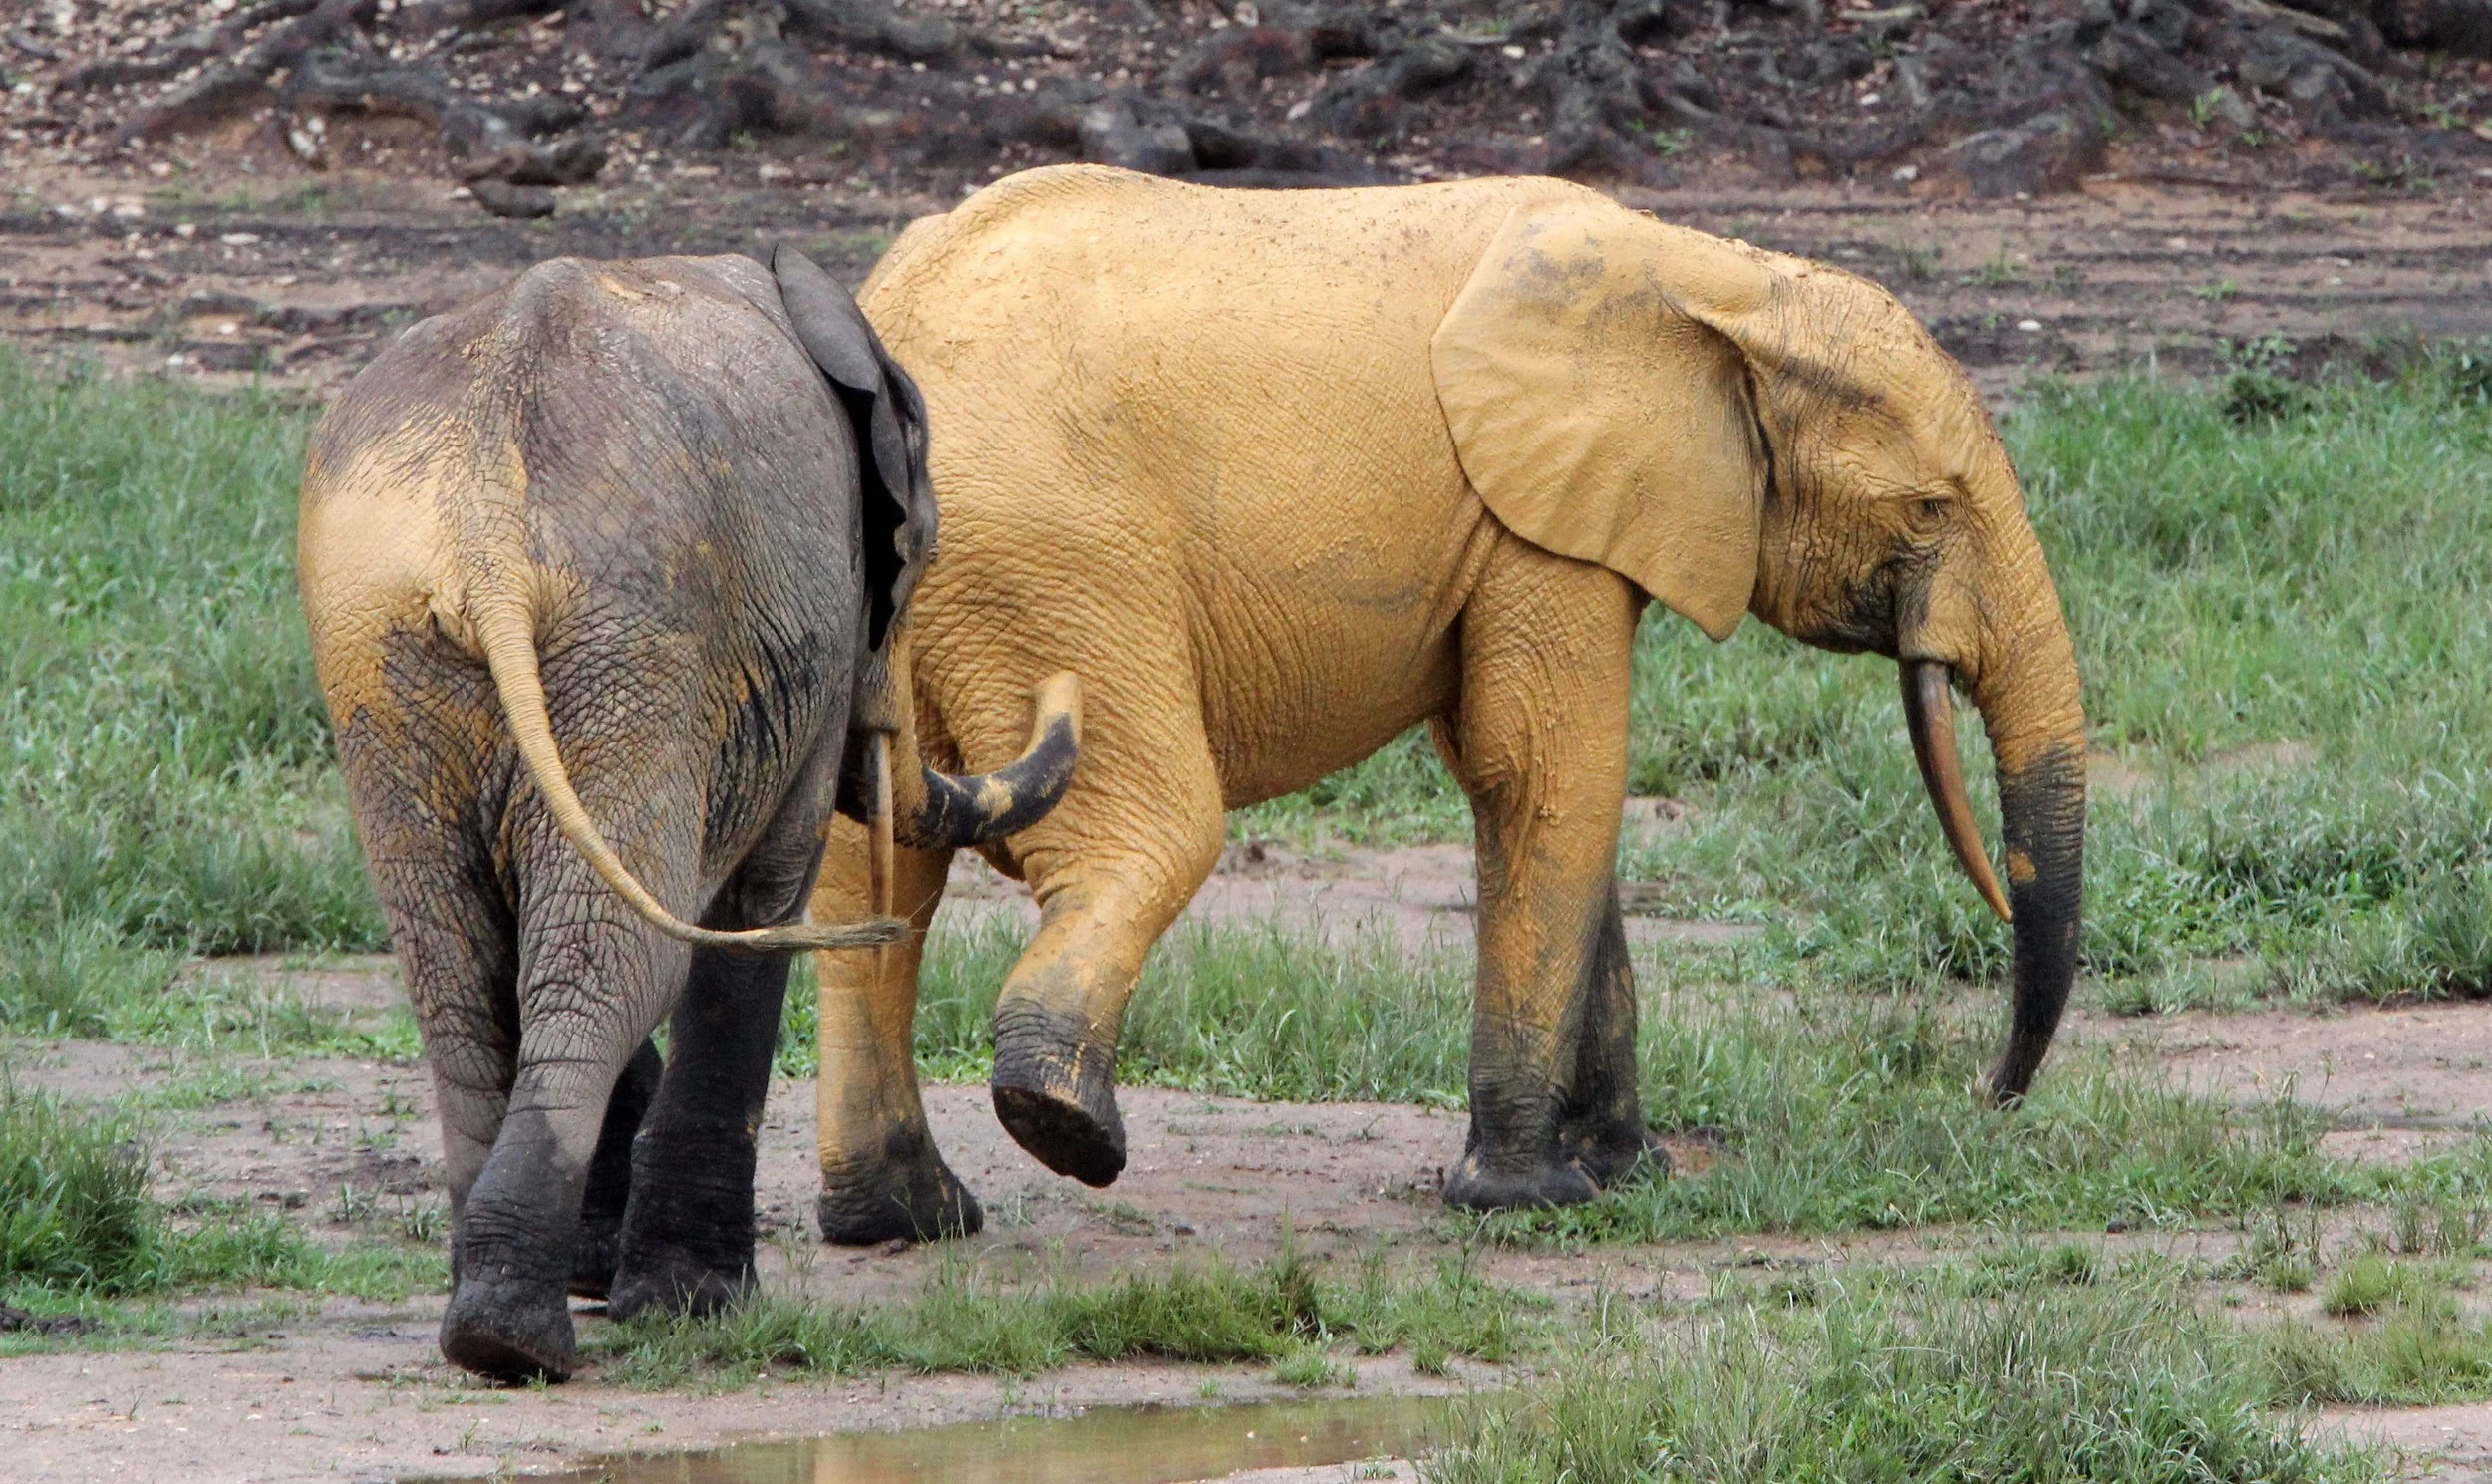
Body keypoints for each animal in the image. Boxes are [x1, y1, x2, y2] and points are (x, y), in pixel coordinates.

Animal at [298, 246, 1079, 1380]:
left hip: (393, 653)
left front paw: (615, 1278)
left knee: (464, 959)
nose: (1066, 688)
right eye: (919, 559)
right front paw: (694, 1305)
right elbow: (757, 908)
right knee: (614, 953)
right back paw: (519, 1338)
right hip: (633, 640)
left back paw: (488, 1321)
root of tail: (486, 521)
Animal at [803, 164, 2085, 1237]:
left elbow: (1535, 784)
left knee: (871, 878)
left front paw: (1629, 1174)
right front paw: (1528, 1199)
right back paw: (1062, 1130)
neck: (1715, 279)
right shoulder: (1539, 519)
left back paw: (905, 1218)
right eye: (1928, 510)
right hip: (1053, 566)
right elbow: (1551, 774)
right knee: (1154, 830)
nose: (1987, 1095)